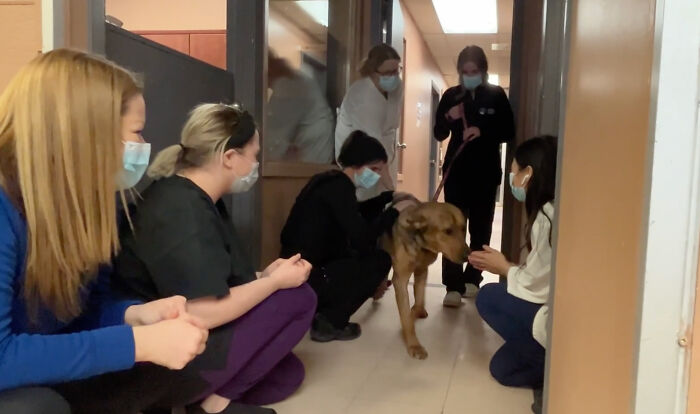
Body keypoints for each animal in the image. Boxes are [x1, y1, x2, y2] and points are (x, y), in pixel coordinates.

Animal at [380, 201, 468, 360]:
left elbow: (419, 300)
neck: (421, 246)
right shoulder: (400, 280)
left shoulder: (422, 271)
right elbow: (406, 318)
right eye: (447, 231)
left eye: (464, 228)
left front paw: (416, 312)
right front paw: (414, 345)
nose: (468, 255)